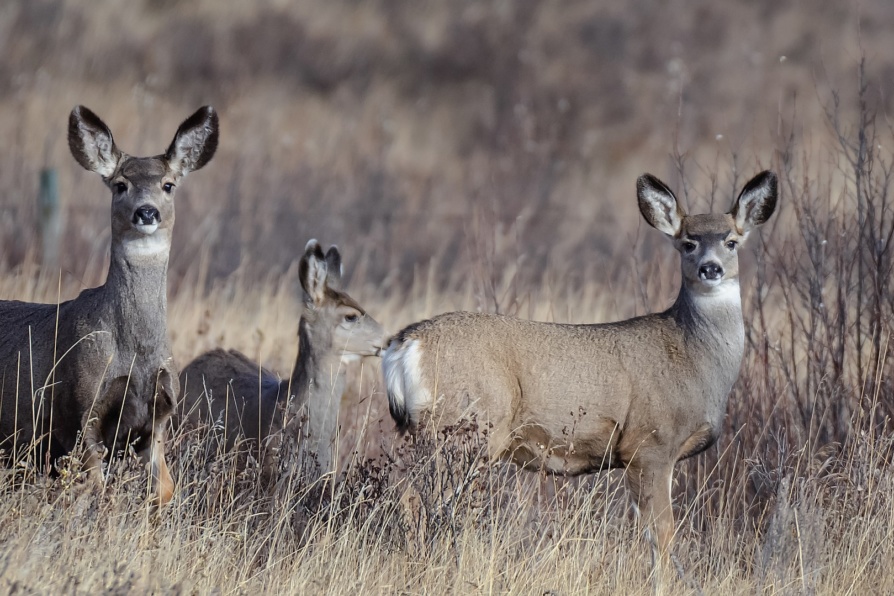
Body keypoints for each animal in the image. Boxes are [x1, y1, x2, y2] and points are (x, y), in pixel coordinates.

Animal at [0, 105, 220, 506]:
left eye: (168, 184)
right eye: (120, 184)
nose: (147, 212)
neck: (136, 352)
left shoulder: (159, 415)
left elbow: (165, 489)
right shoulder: (82, 406)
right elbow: (97, 490)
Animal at [384, 171, 776, 564]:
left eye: (731, 242)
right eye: (688, 243)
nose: (711, 268)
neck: (693, 357)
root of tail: (406, 343)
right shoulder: (649, 444)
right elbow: (662, 535)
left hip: (422, 431)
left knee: (405, 492)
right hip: (468, 425)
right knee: (429, 500)